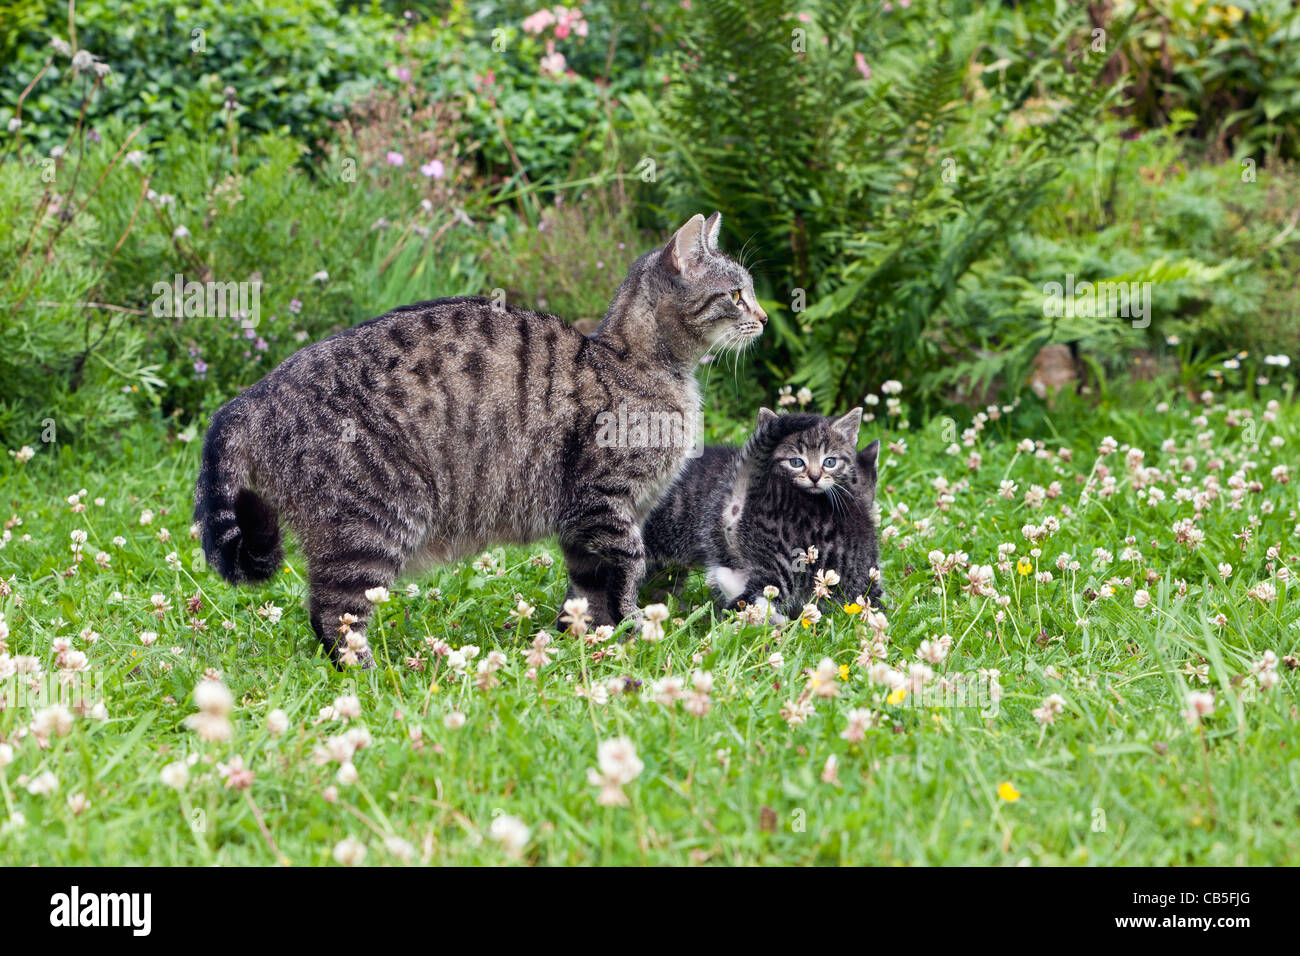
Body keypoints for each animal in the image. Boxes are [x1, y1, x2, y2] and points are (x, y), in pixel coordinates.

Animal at [191, 214, 759, 665]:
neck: (634, 362)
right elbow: (624, 579)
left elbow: (586, 595)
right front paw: (634, 635)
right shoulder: (606, 509)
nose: (765, 316)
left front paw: (583, 642)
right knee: (332, 617)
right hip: (370, 526)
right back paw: (368, 677)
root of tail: (254, 395)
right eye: (736, 294)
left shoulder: (584, 528)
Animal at [642, 408, 883, 621]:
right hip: (783, 563)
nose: (814, 477)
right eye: (796, 462)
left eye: (830, 462)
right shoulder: (865, 575)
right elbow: (874, 604)